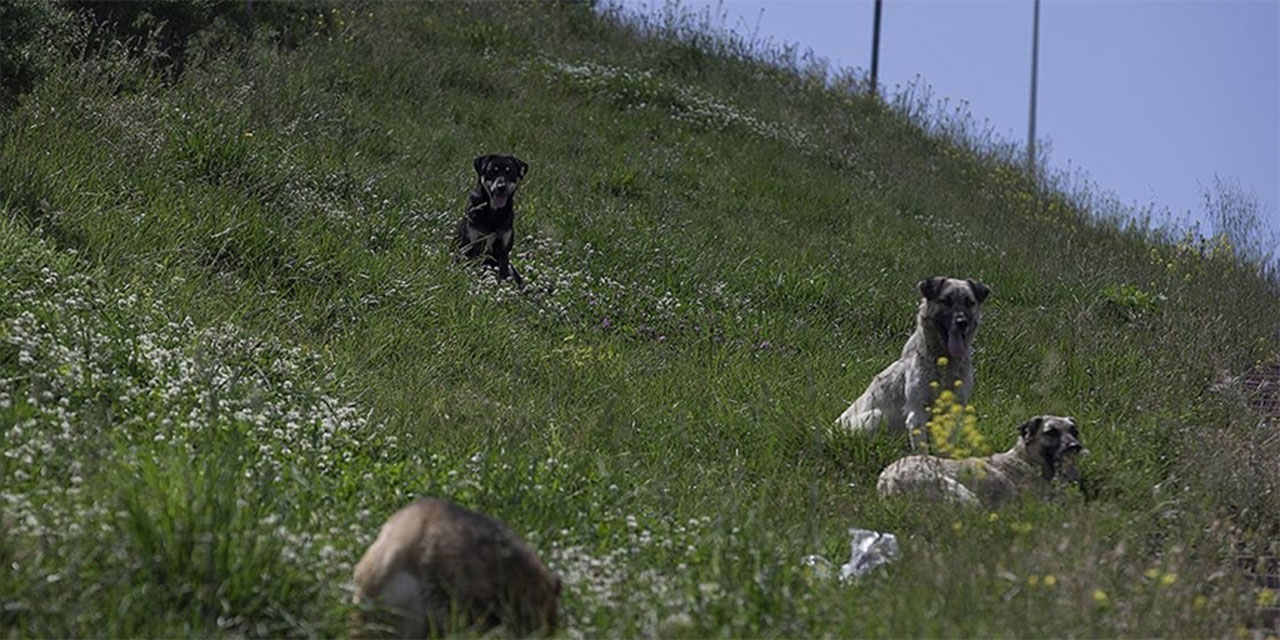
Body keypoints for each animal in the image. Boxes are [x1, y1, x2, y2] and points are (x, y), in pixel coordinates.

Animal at [455, 153, 529, 284]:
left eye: (510, 172)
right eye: (492, 171)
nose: (501, 187)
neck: (493, 212)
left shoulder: (503, 250)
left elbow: (502, 273)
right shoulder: (471, 244)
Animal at [834, 279, 993, 450]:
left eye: (969, 302)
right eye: (946, 301)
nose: (962, 322)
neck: (944, 364)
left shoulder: (952, 414)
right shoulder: (917, 414)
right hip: (877, 415)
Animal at [875, 412, 1085, 506]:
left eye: (1074, 431)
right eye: (1051, 432)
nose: (1075, 447)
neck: (1026, 459)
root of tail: (886, 482)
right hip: (958, 490)